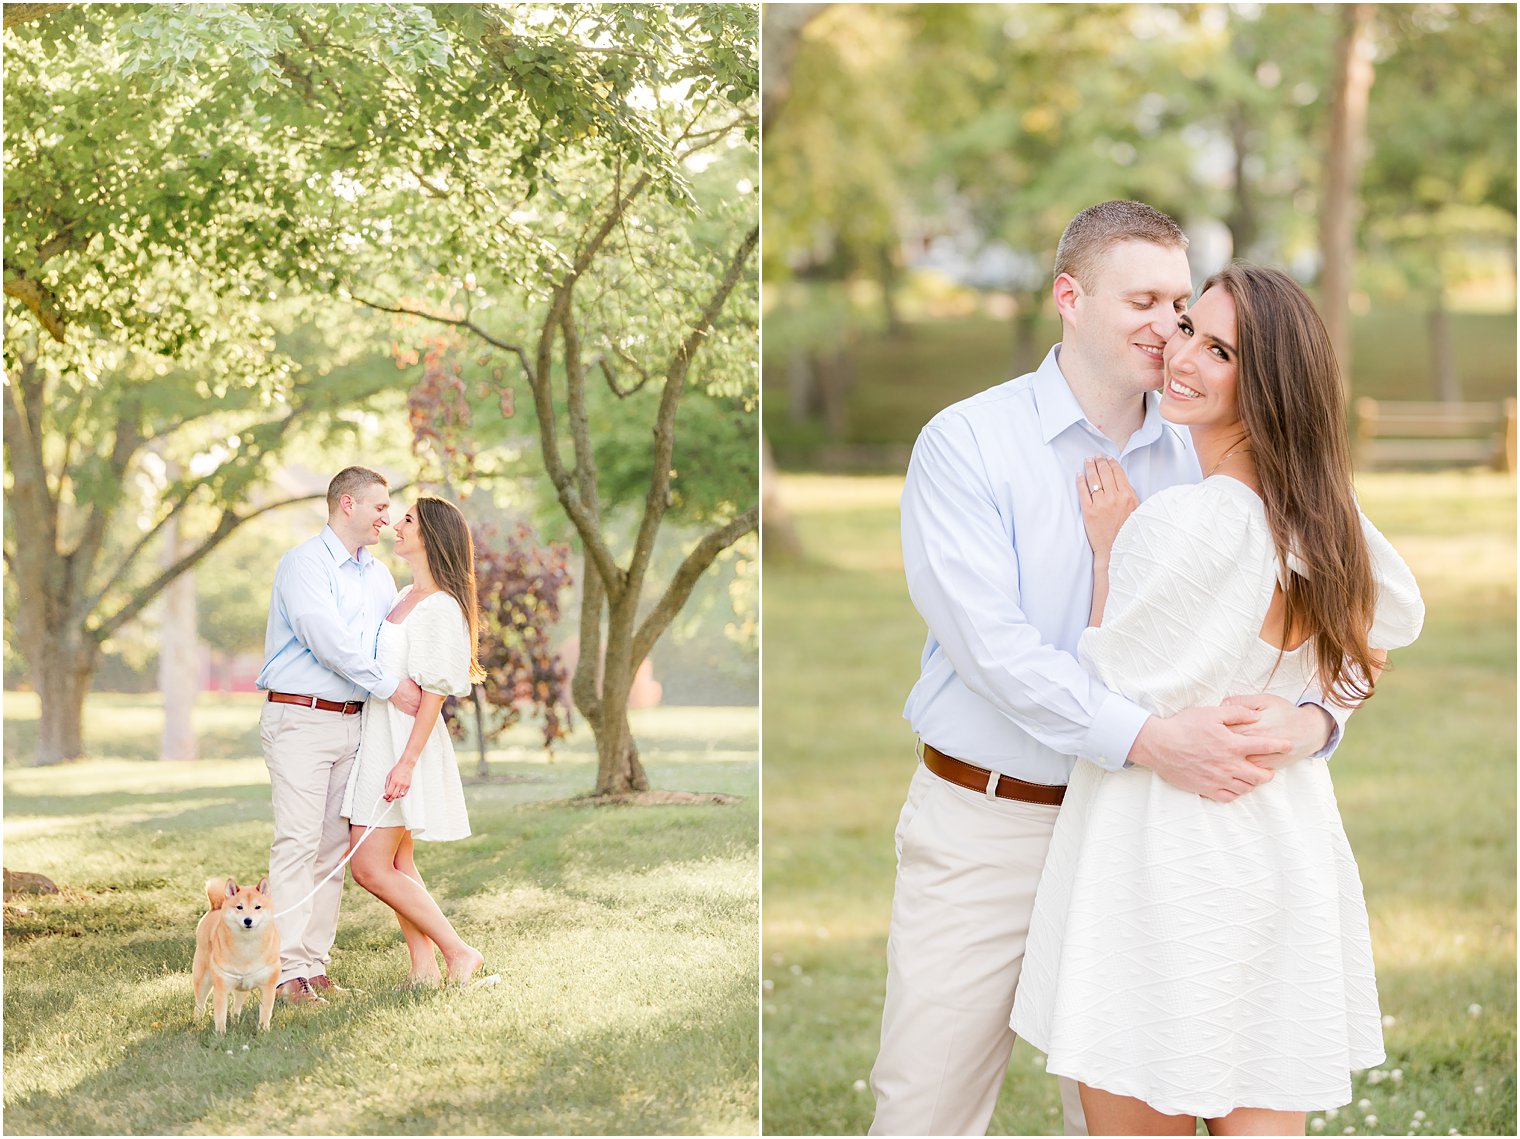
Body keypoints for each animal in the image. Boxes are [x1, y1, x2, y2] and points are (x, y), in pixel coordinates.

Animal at [191, 875, 281, 1034]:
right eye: (239, 907)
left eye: (257, 907)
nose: (248, 920)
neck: (247, 947)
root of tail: (215, 908)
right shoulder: (221, 988)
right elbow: (220, 1016)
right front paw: (220, 1034)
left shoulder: (268, 986)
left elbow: (265, 1013)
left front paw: (263, 1031)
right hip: (202, 980)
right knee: (199, 1005)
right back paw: (197, 1024)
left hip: (242, 989)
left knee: (236, 1008)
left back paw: (236, 1022)